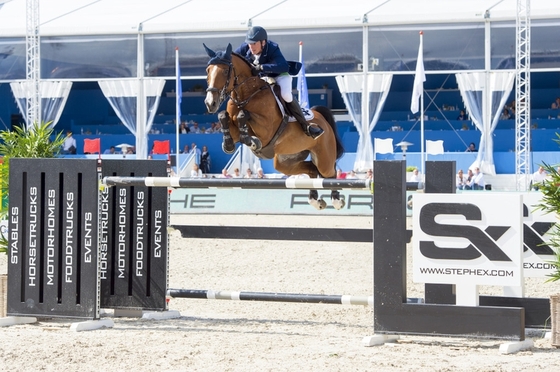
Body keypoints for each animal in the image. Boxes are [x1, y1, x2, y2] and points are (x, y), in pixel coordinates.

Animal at [205, 42, 346, 211]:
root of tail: (322, 117)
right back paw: (315, 200)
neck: (247, 95)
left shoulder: (266, 130)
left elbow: (244, 115)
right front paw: (228, 145)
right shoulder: (234, 130)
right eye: (207, 71)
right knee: (311, 169)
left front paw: (252, 141)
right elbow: (223, 117)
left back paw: (336, 200)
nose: (210, 103)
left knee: (329, 172)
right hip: (285, 161)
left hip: (324, 157)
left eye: (226, 71)